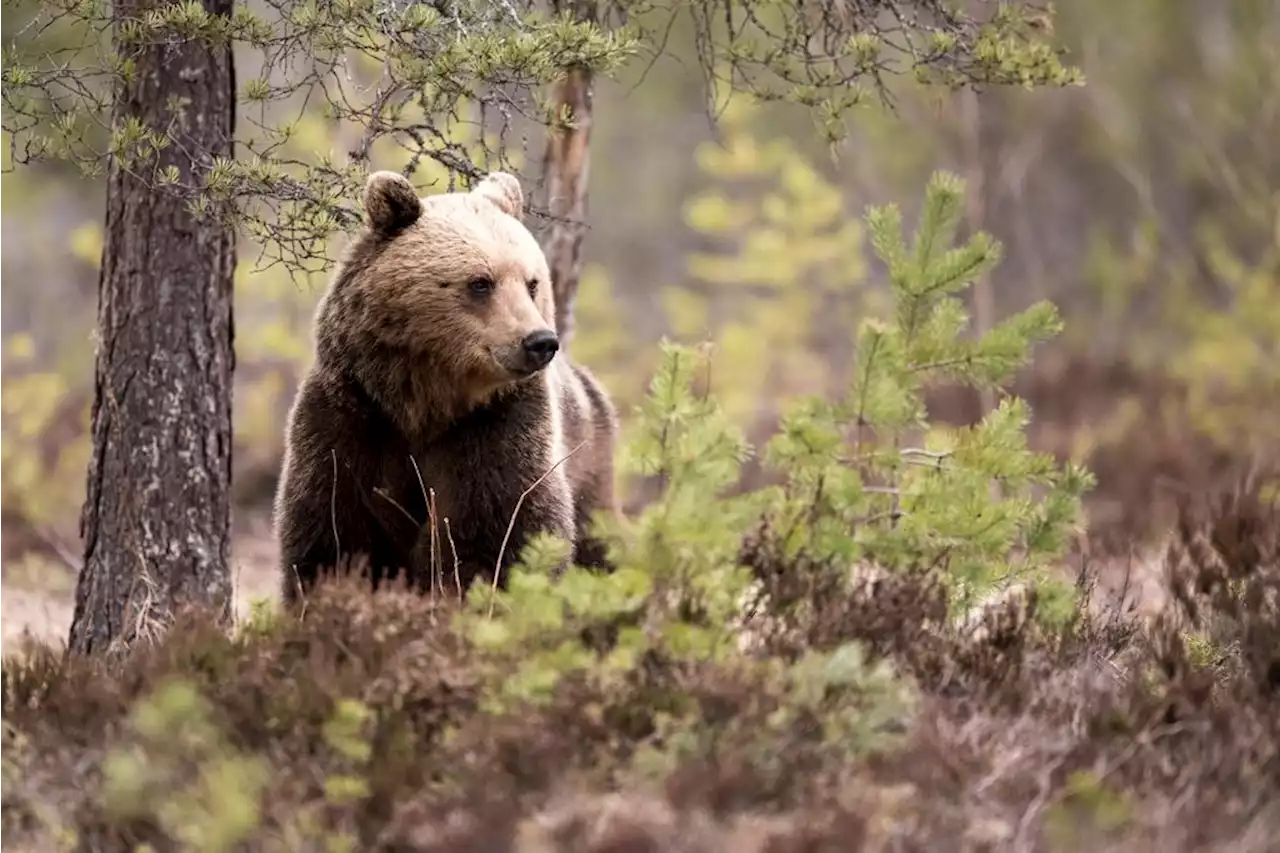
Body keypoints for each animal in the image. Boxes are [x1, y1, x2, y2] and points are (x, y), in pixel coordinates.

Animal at [273, 167, 619, 604]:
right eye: (480, 283)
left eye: (532, 282)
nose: (539, 341)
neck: (424, 400)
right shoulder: (353, 415)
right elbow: (333, 526)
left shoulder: (496, 425)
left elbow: (496, 530)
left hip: (588, 461)